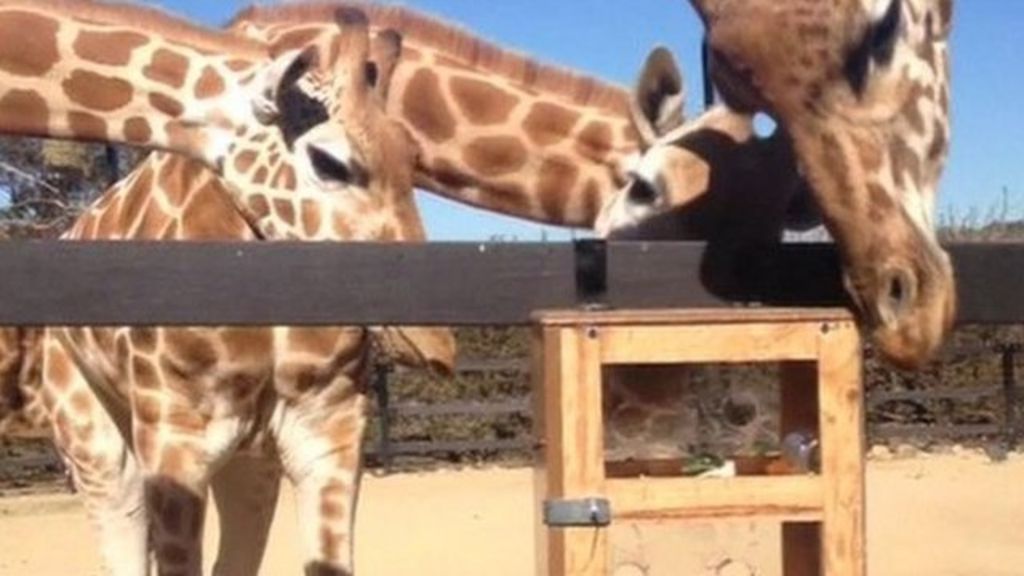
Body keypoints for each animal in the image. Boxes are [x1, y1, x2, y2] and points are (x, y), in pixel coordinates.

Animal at [0, 2, 453, 575]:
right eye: (328, 161)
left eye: (413, 158)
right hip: (91, 430)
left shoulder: (328, 430)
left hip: (250, 456)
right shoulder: (176, 437)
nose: (437, 342)